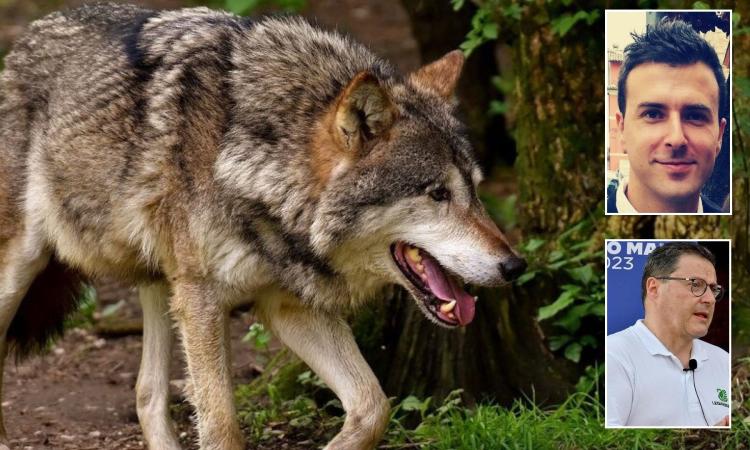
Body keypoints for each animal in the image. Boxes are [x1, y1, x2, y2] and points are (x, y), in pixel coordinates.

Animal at [0, 3, 526, 449]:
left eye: (476, 190)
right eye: (437, 194)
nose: (515, 266)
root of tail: (26, 37)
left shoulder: (287, 305)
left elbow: (372, 406)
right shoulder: (204, 300)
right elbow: (222, 428)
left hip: (161, 284)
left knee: (146, 394)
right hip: (26, 266)